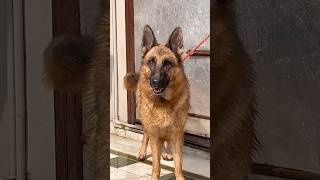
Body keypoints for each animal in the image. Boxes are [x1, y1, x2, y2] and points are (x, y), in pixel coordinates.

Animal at [125, 24, 190, 179]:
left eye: (167, 63)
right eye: (151, 62)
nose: (155, 82)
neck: (163, 103)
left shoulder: (177, 135)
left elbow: (178, 164)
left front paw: (179, 176)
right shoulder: (154, 133)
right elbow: (156, 164)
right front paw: (154, 176)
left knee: (163, 142)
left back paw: (165, 153)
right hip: (146, 122)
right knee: (146, 136)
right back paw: (142, 152)